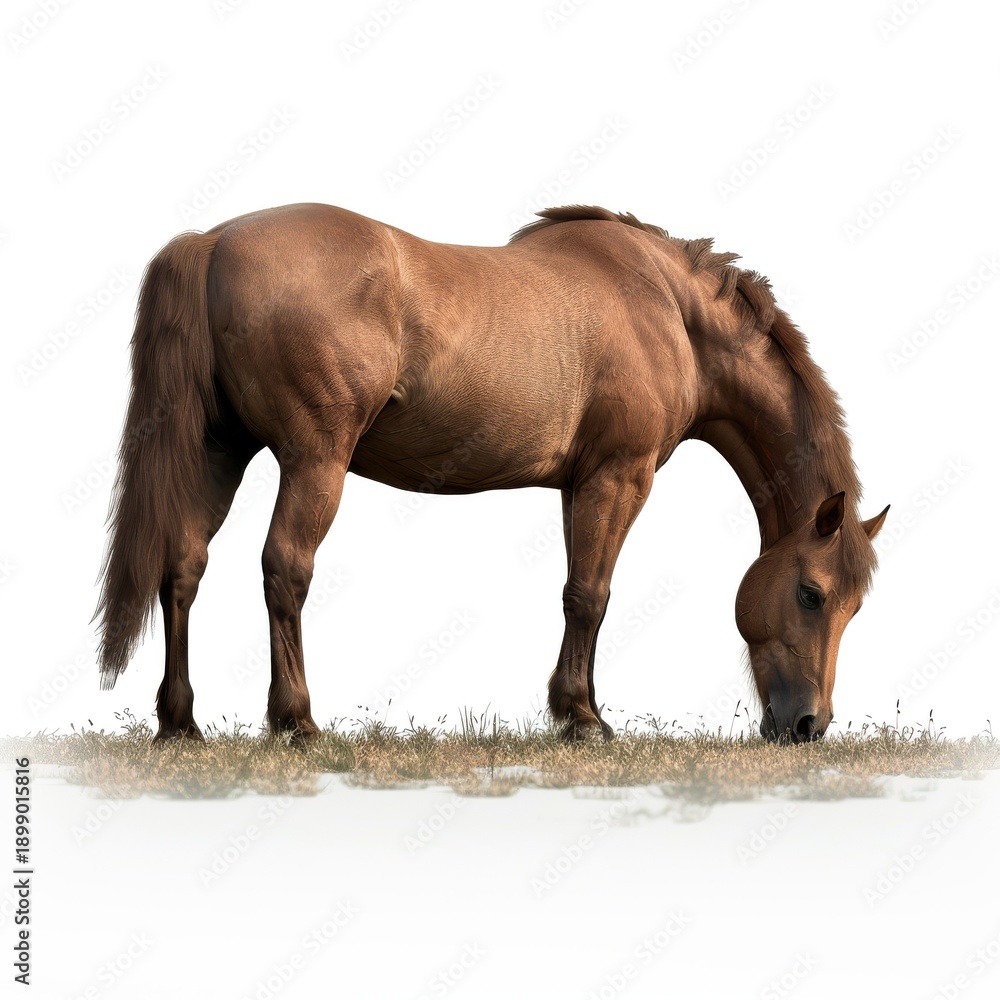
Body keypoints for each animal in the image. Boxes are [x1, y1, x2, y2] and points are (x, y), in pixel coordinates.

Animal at [95, 203, 888, 744]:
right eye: (812, 594)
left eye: (856, 606)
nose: (810, 724)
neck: (666, 306)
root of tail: (212, 242)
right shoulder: (618, 477)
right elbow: (590, 596)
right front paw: (583, 717)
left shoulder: (579, 485)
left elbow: (578, 592)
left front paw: (572, 709)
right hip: (315, 461)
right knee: (283, 569)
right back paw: (296, 720)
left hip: (216, 453)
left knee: (182, 568)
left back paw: (180, 722)